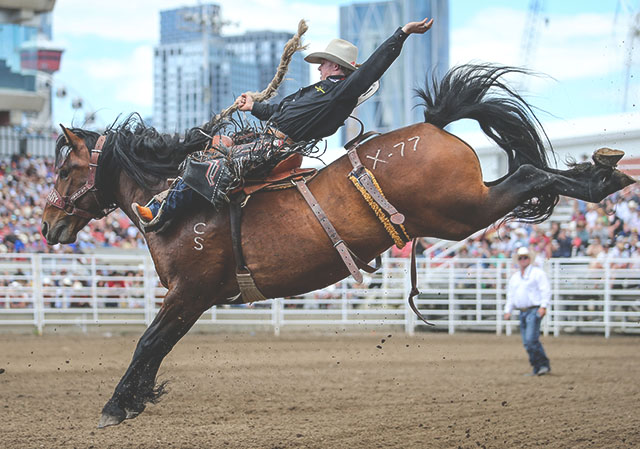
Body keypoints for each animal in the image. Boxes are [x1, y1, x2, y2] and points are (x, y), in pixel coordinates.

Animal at [41, 64, 636, 428]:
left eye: (65, 169)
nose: (47, 224)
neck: (169, 200)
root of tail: (432, 126)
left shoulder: (190, 293)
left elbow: (147, 343)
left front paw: (116, 405)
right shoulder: (191, 300)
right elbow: (157, 348)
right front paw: (137, 399)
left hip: (463, 213)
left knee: (530, 175)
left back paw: (602, 178)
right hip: (467, 206)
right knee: (527, 174)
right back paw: (600, 169)